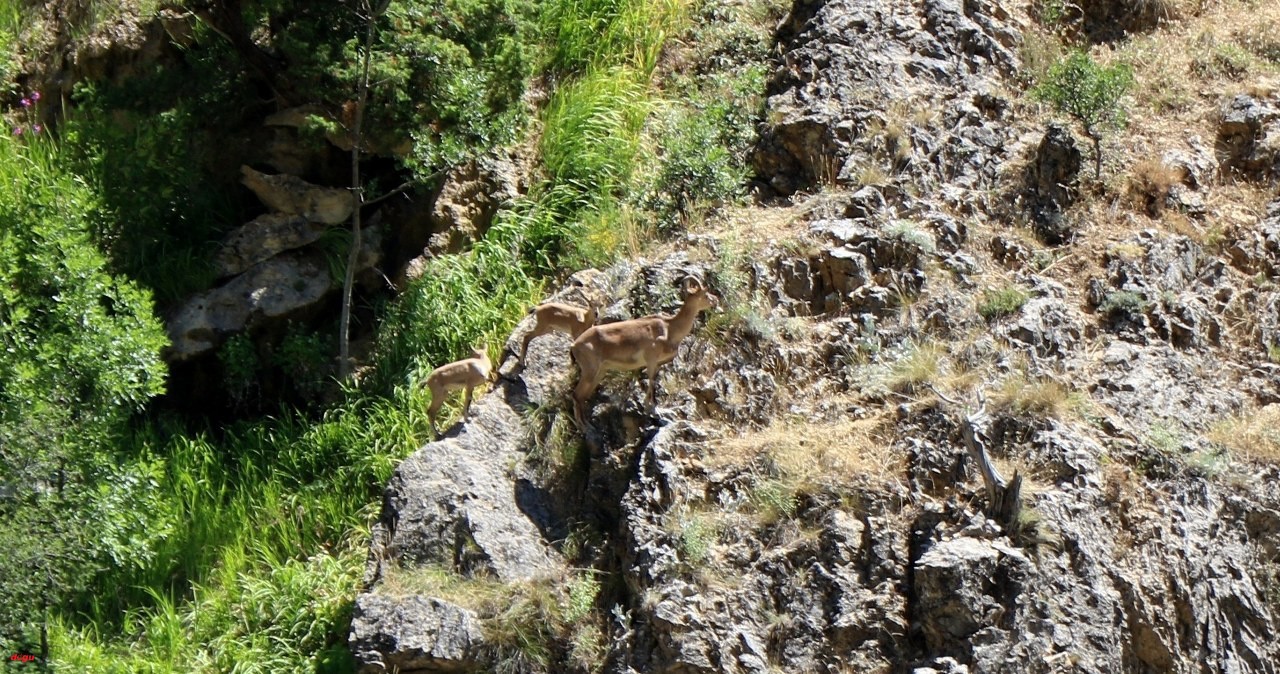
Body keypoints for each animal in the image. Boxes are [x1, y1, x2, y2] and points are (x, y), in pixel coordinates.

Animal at [573, 277, 721, 429]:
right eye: (705, 294)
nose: (716, 300)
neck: (669, 328)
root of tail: (575, 345)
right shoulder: (651, 359)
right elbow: (651, 381)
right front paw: (652, 408)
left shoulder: (656, 363)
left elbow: (653, 380)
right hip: (590, 371)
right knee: (577, 395)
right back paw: (584, 426)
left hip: (600, 372)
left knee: (582, 396)